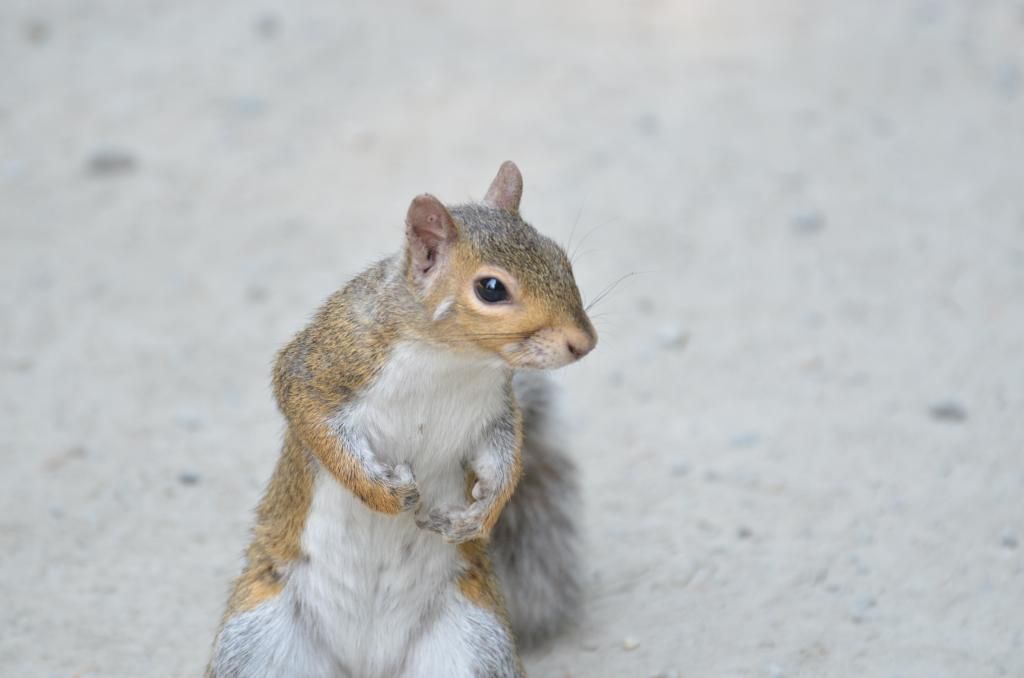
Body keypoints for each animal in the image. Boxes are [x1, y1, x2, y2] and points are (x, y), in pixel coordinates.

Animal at [207, 161, 598, 675]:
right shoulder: (326, 363)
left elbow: (503, 456)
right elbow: (309, 415)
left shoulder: (494, 412)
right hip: (255, 640)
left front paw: (481, 513)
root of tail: (367, 663)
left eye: (560, 258)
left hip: (474, 641)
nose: (584, 343)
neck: (451, 360)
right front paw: (385, 493)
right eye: (491, 288)